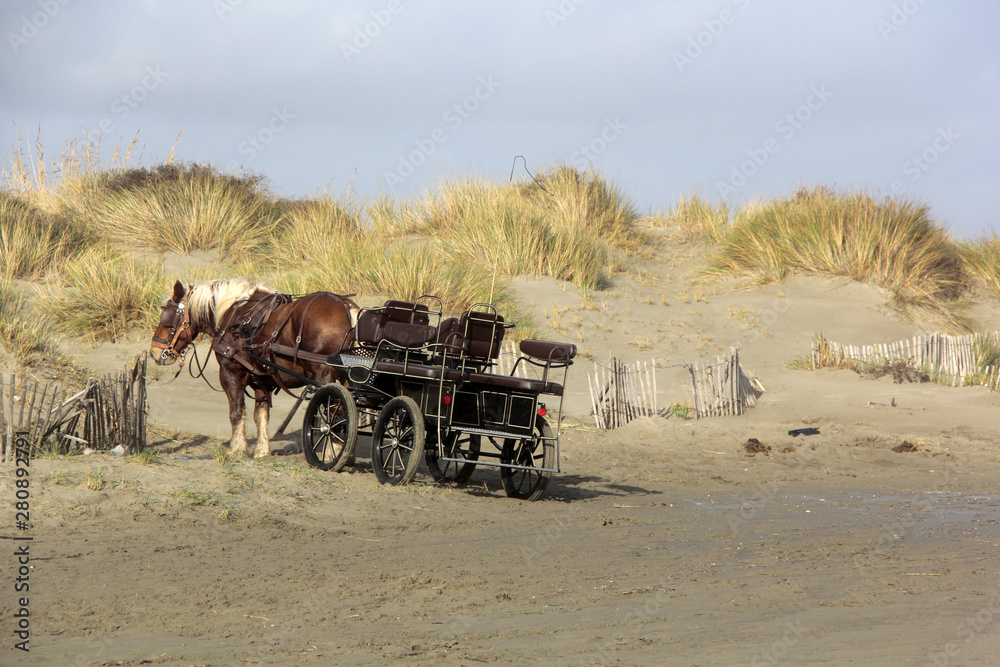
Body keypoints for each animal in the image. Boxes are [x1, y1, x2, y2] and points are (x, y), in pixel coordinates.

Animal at [150, 278, 359, 458]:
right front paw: (262, 450)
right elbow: (261, 415)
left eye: (166, 318)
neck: (233, 314)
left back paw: (331, 453)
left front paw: (236, 448)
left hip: (325, 377)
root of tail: (345, 306)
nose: (154, 352)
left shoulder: (230, 374)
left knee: (335, 414)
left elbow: (236, 412)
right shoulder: (261, 381)